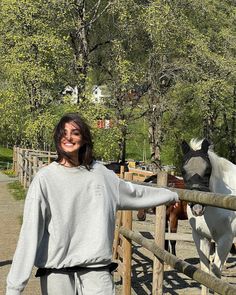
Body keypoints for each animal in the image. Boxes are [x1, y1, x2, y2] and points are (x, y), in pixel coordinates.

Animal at [181, 139, 236, 295]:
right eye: (183, 171)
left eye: (207, 171)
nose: (197, 208)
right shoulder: (201, 237)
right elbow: (205, 271)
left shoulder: (225, 240)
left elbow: (216, 274)